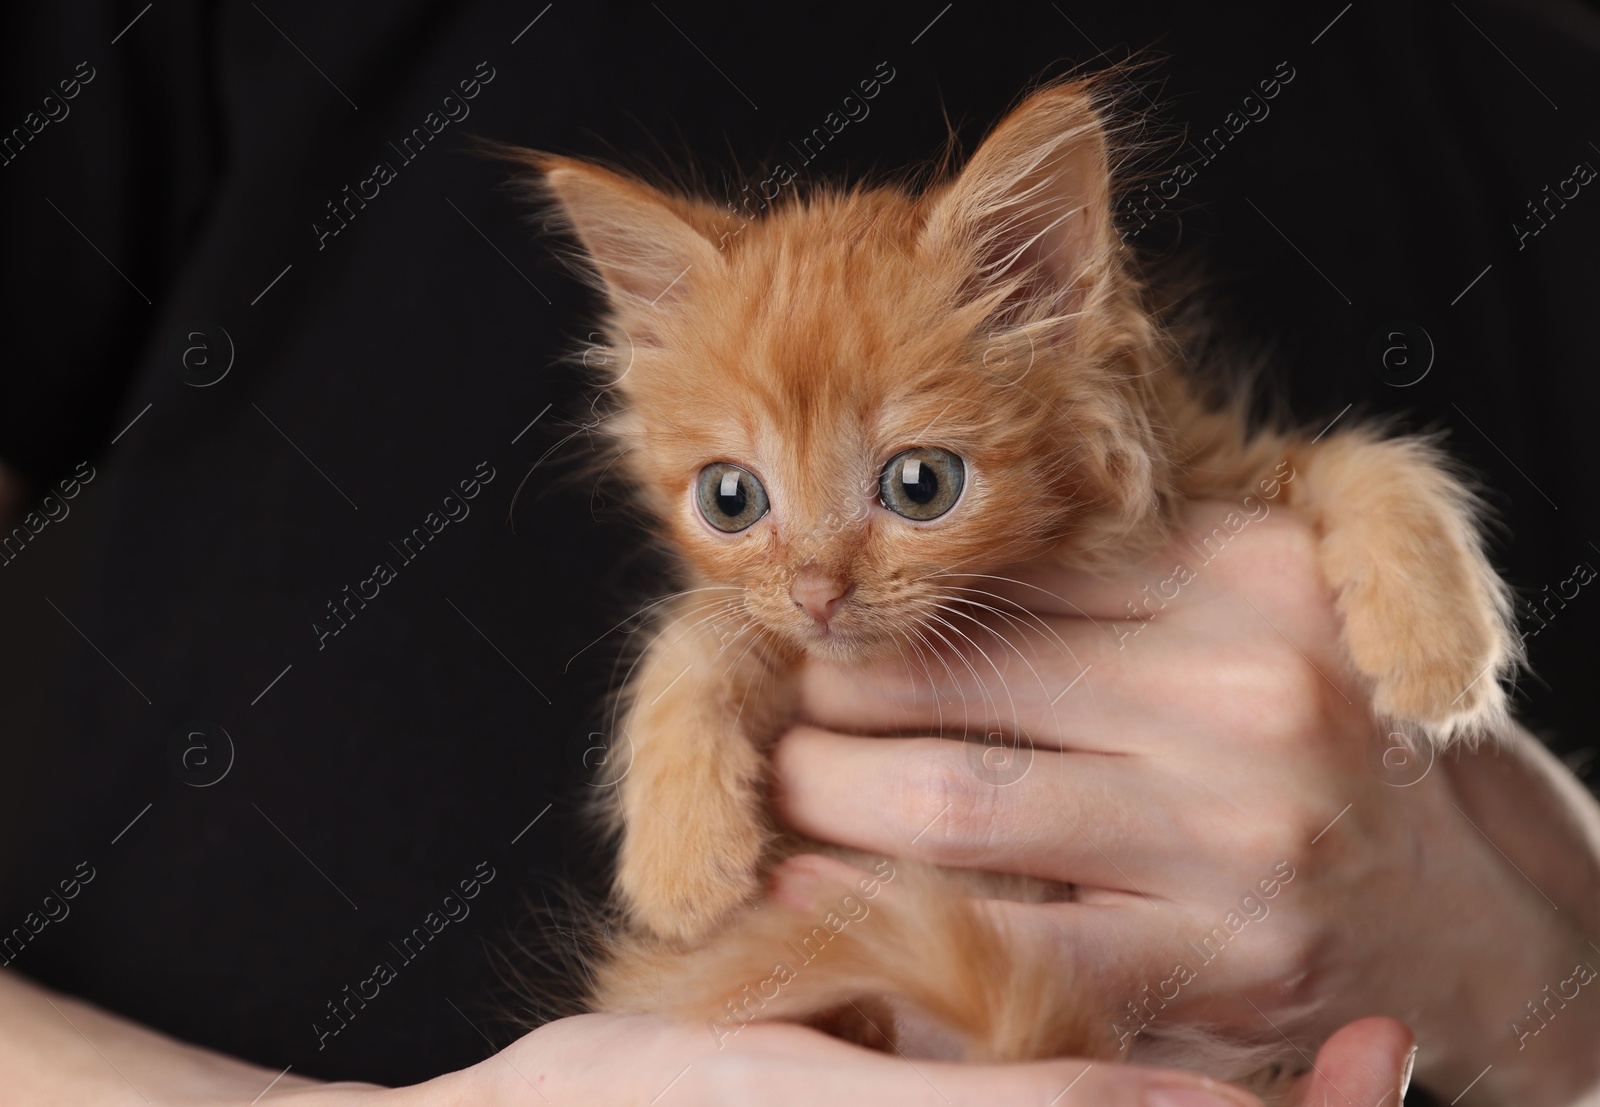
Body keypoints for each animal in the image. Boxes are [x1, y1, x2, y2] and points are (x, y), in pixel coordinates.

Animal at [505, 75, 1516, 1087]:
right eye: (730, 498)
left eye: (921, 484)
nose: (819, 592)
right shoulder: (773, 627)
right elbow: (699, 631)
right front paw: (679, 860)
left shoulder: (1228, 476)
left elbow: (1368, 458)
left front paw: (1437, 648)